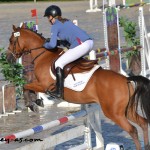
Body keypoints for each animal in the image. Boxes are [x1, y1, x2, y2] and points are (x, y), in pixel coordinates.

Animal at [5, 24, 150, 149]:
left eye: (11, 40)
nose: (8, 59)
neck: (43, 54)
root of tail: (126, 79)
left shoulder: (43, 85)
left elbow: (26, 86)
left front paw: (32, 104)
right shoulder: (39, 83)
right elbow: (28, 86)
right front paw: (37, 102)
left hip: (114, 113)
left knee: (133, 130)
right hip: (127, 110)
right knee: (143, 123)